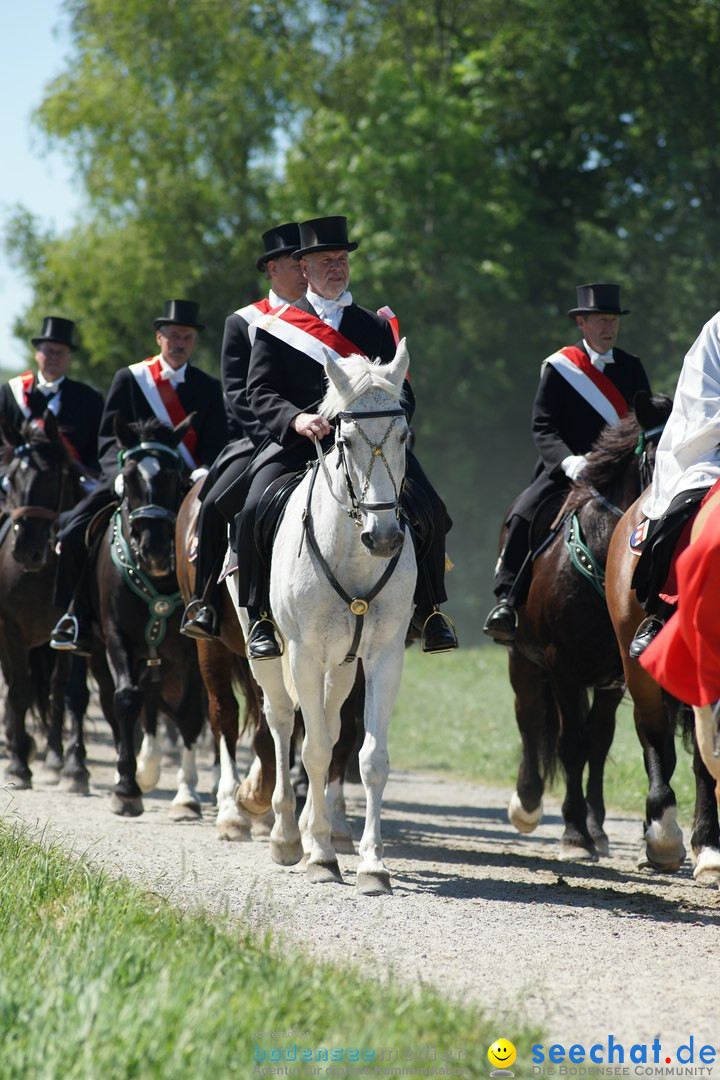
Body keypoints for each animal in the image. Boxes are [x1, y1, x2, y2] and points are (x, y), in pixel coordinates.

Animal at [86, 414, 208, 816]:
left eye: (172, 475)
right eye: (129, 476)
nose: (154, 550)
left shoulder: (189, 649)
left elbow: (189, 712)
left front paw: (187, 795)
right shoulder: (118, 637)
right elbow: (126, 699)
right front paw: (126, 788)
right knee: (118, 703)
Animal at [227, 343, 414, 894]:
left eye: (404, 436)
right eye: (343, 438)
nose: (385, 537)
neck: (352, 550)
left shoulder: (382, 656)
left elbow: (369, 758)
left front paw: (372, 865)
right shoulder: (305, 656)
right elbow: (309, 751)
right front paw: (321, 858)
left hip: (343, 664)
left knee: (328, 729)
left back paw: (316, 830)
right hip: (269, 655)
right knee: (284, 722)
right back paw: (290, 837)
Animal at [507, 395, 669, 859]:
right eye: (656, 459)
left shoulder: (619, 675)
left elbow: (596, 744)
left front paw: (590, 828)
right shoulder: (562, 666)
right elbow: (570, 744)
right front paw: (574, 834)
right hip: (522, 660)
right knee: (529, 716)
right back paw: (527, 802)